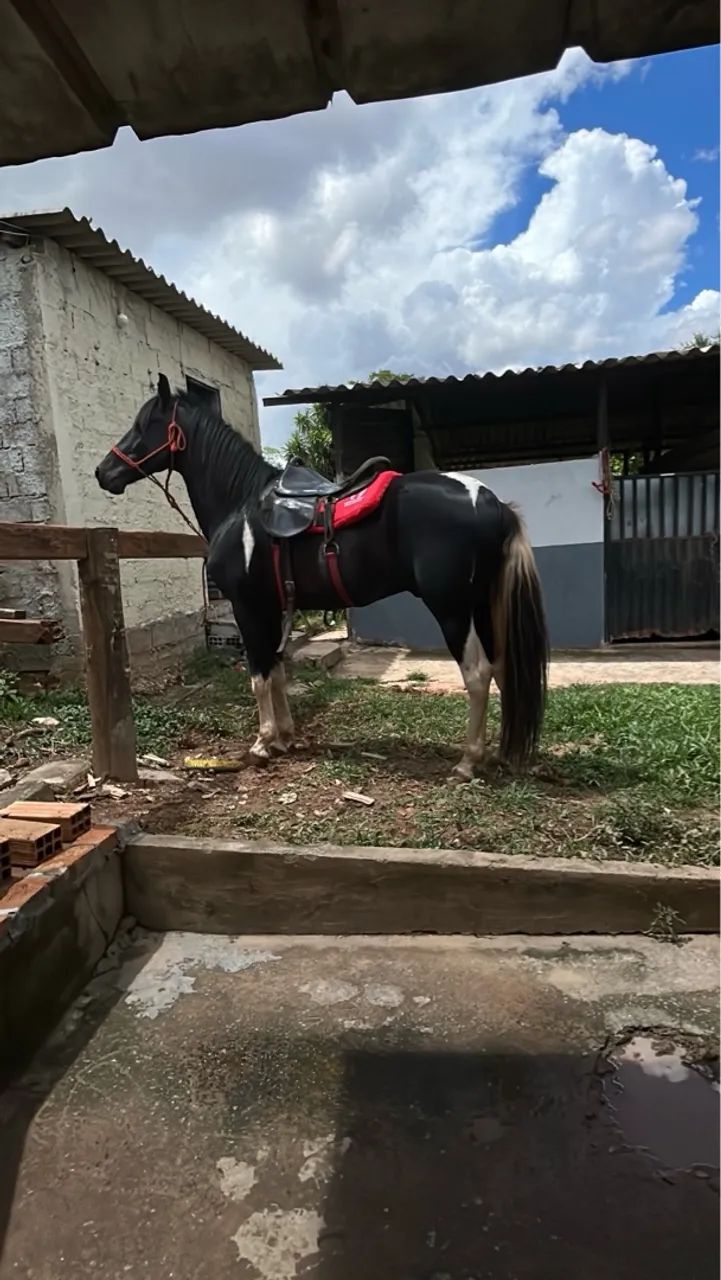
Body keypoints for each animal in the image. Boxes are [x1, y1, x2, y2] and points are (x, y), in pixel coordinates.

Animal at [95, 374, 548, 780]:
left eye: (144, 424)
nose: (104, 472)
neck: (241, 507)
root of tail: (491, 502)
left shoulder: (248, 607)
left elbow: (259, 676)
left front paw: (262, 743)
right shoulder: (273, 608)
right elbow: (277, 671)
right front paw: (285, 737)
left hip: (452, 609)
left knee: (477, 674)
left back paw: (468, 762)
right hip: (482, 605)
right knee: (502, 668)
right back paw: (497, 754)